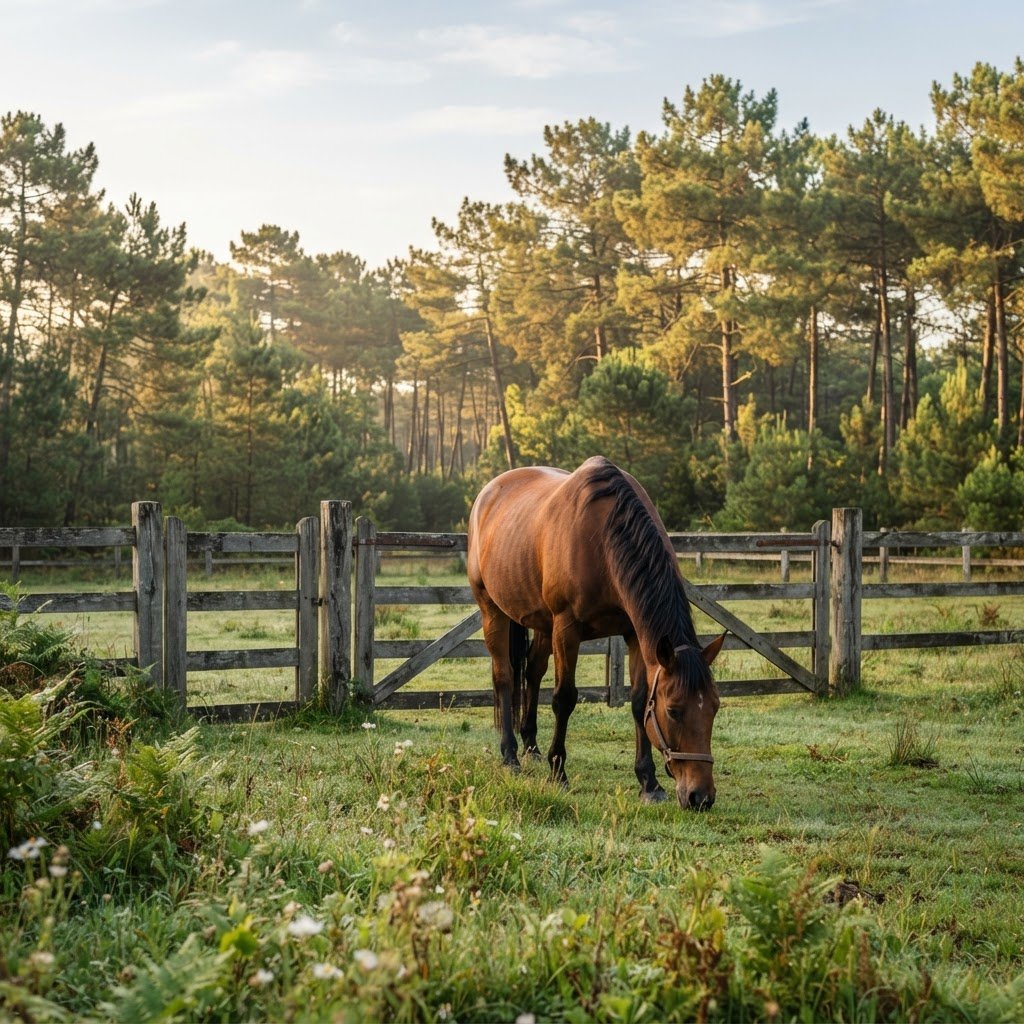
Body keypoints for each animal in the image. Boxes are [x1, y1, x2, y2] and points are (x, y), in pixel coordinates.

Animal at [467, 455, 724, 810]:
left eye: (714, 706)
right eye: (673, 710)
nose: (701, 797)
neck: (601, 538)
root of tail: (487, 494)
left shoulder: (634, 635)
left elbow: (638, 701)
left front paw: (648, 781)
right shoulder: (566, 630)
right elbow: (564, 698)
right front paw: (558, 772)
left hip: (542, 623)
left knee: (532, 672)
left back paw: (531, 746)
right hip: (493, 610)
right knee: (504, 677)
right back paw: (510, 755)